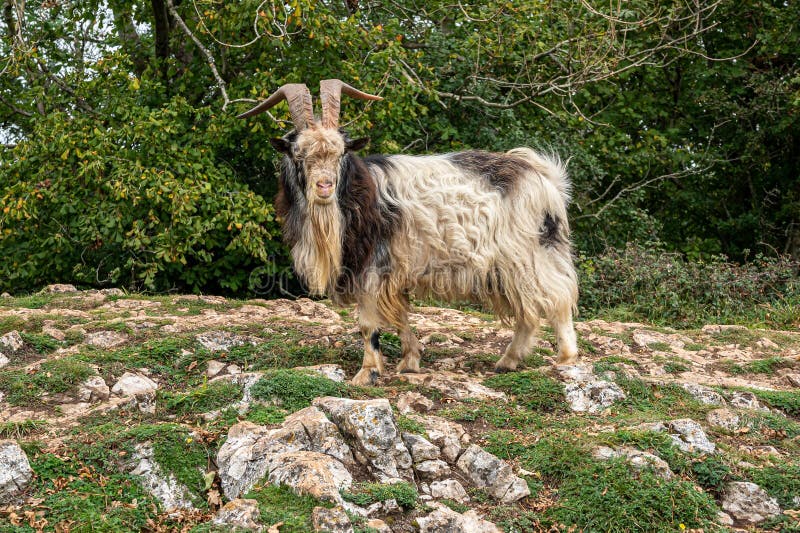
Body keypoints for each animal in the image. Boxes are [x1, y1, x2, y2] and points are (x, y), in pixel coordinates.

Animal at [241, 80, 580, 382]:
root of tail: (545, 177)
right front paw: (410, 361)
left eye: (340, 153)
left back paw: (565, 358)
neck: (357, 194)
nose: (324, 187)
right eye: (299, 155)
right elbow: (400, 315)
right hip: (505, 267)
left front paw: (368, 373)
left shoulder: (372, 266)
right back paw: (508, 361)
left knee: (556, 298)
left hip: (530, 254)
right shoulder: (392, 271)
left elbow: (368, 322)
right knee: (528, 312)